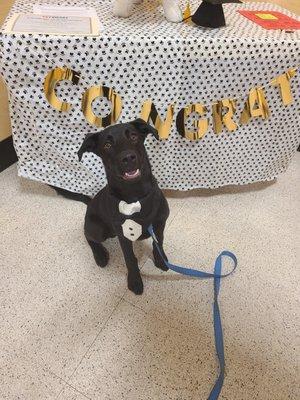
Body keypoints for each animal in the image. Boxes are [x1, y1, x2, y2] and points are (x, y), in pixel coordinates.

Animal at [77, 119, 170, 294]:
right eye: (107, 145)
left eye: (133, 136)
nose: (128, 158)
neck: (135, 195)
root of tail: (90, 203)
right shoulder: (124, 236)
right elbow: (130, 259)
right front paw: (134, 281)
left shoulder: (159, 224)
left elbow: (158, 243)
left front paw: (161, 261)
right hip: (98, 229)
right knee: (88, 236)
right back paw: (100, 255)